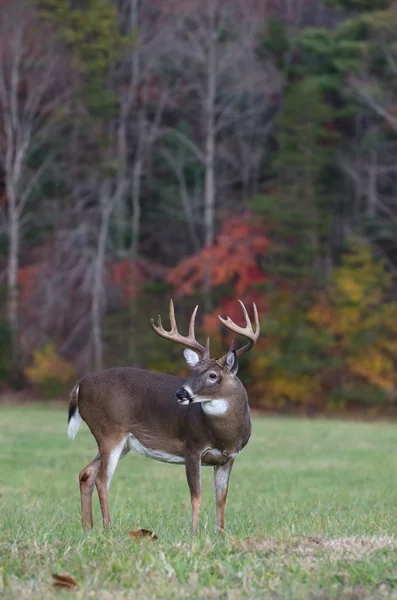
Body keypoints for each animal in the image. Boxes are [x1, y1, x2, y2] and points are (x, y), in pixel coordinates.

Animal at [67, 300, 260, 536]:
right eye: (192, 372)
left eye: (213, 375)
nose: (181, 393)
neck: (225, 435)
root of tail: (80, 384)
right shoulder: (192, 447)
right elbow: (196, 495)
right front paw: (195, 534)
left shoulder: (228, 458)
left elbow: (221, 499)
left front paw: (221, 535)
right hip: (109, 430)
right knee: (102, 479)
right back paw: (108, 527)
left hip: (123, 443)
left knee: (87, 473)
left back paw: (88, 527)